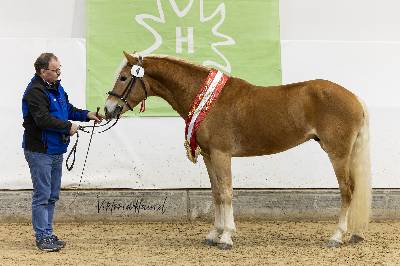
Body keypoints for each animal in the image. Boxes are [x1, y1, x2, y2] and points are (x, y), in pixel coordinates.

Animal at [104, 51, 372, 249]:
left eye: (124, 78)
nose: (108, 109)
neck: (208, 100)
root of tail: (354, 98)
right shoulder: (209, 156)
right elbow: (215, 194)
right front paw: (214, 233)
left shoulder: (221, 154)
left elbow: (226, 193)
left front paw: (226, 237)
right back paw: (354, 234)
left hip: (337, 153)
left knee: (347, 191)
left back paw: (336, 236)